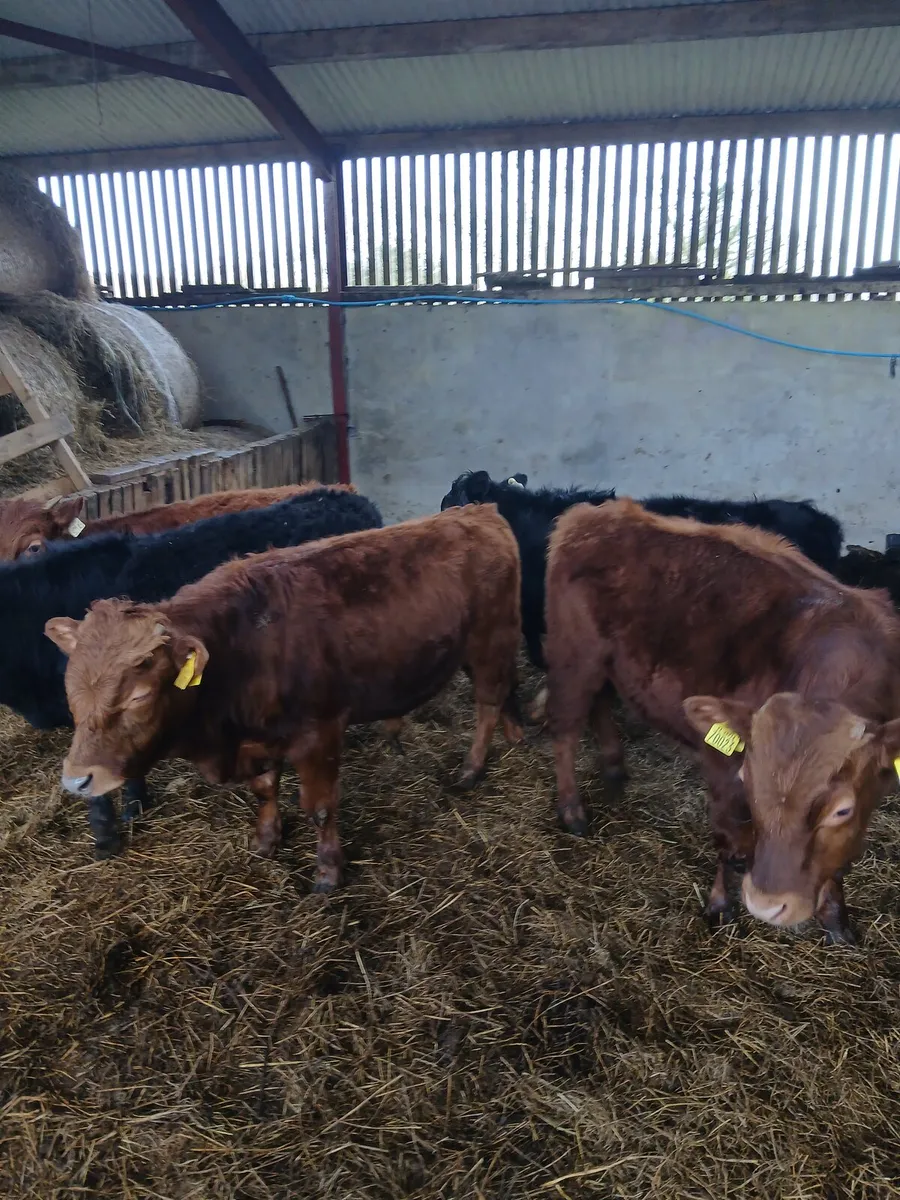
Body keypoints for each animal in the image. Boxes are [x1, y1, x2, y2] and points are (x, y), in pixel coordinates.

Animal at [46, 505, 523, 892]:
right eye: (69, 689)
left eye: (139, 695)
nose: (77, 781)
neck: (241, 645)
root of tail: (481, 511)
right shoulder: (256, 741)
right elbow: (263, 791)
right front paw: (266, 840)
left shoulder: (319, 735)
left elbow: (321, 809)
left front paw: (328, 873)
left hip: (490, 641)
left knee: (488, 702)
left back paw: (471, 769)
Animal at [544, 499, 900, 945]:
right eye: (750, 783)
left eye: (841, 810)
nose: (767, 904)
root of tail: (592, 512)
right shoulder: (721, 764)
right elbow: (728, 838)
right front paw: (718, 905)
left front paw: (836, 920)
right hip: (575, 657)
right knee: (565, 730)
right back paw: (572, 810)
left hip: (606, 665)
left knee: (600, 706)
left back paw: (613, 767)